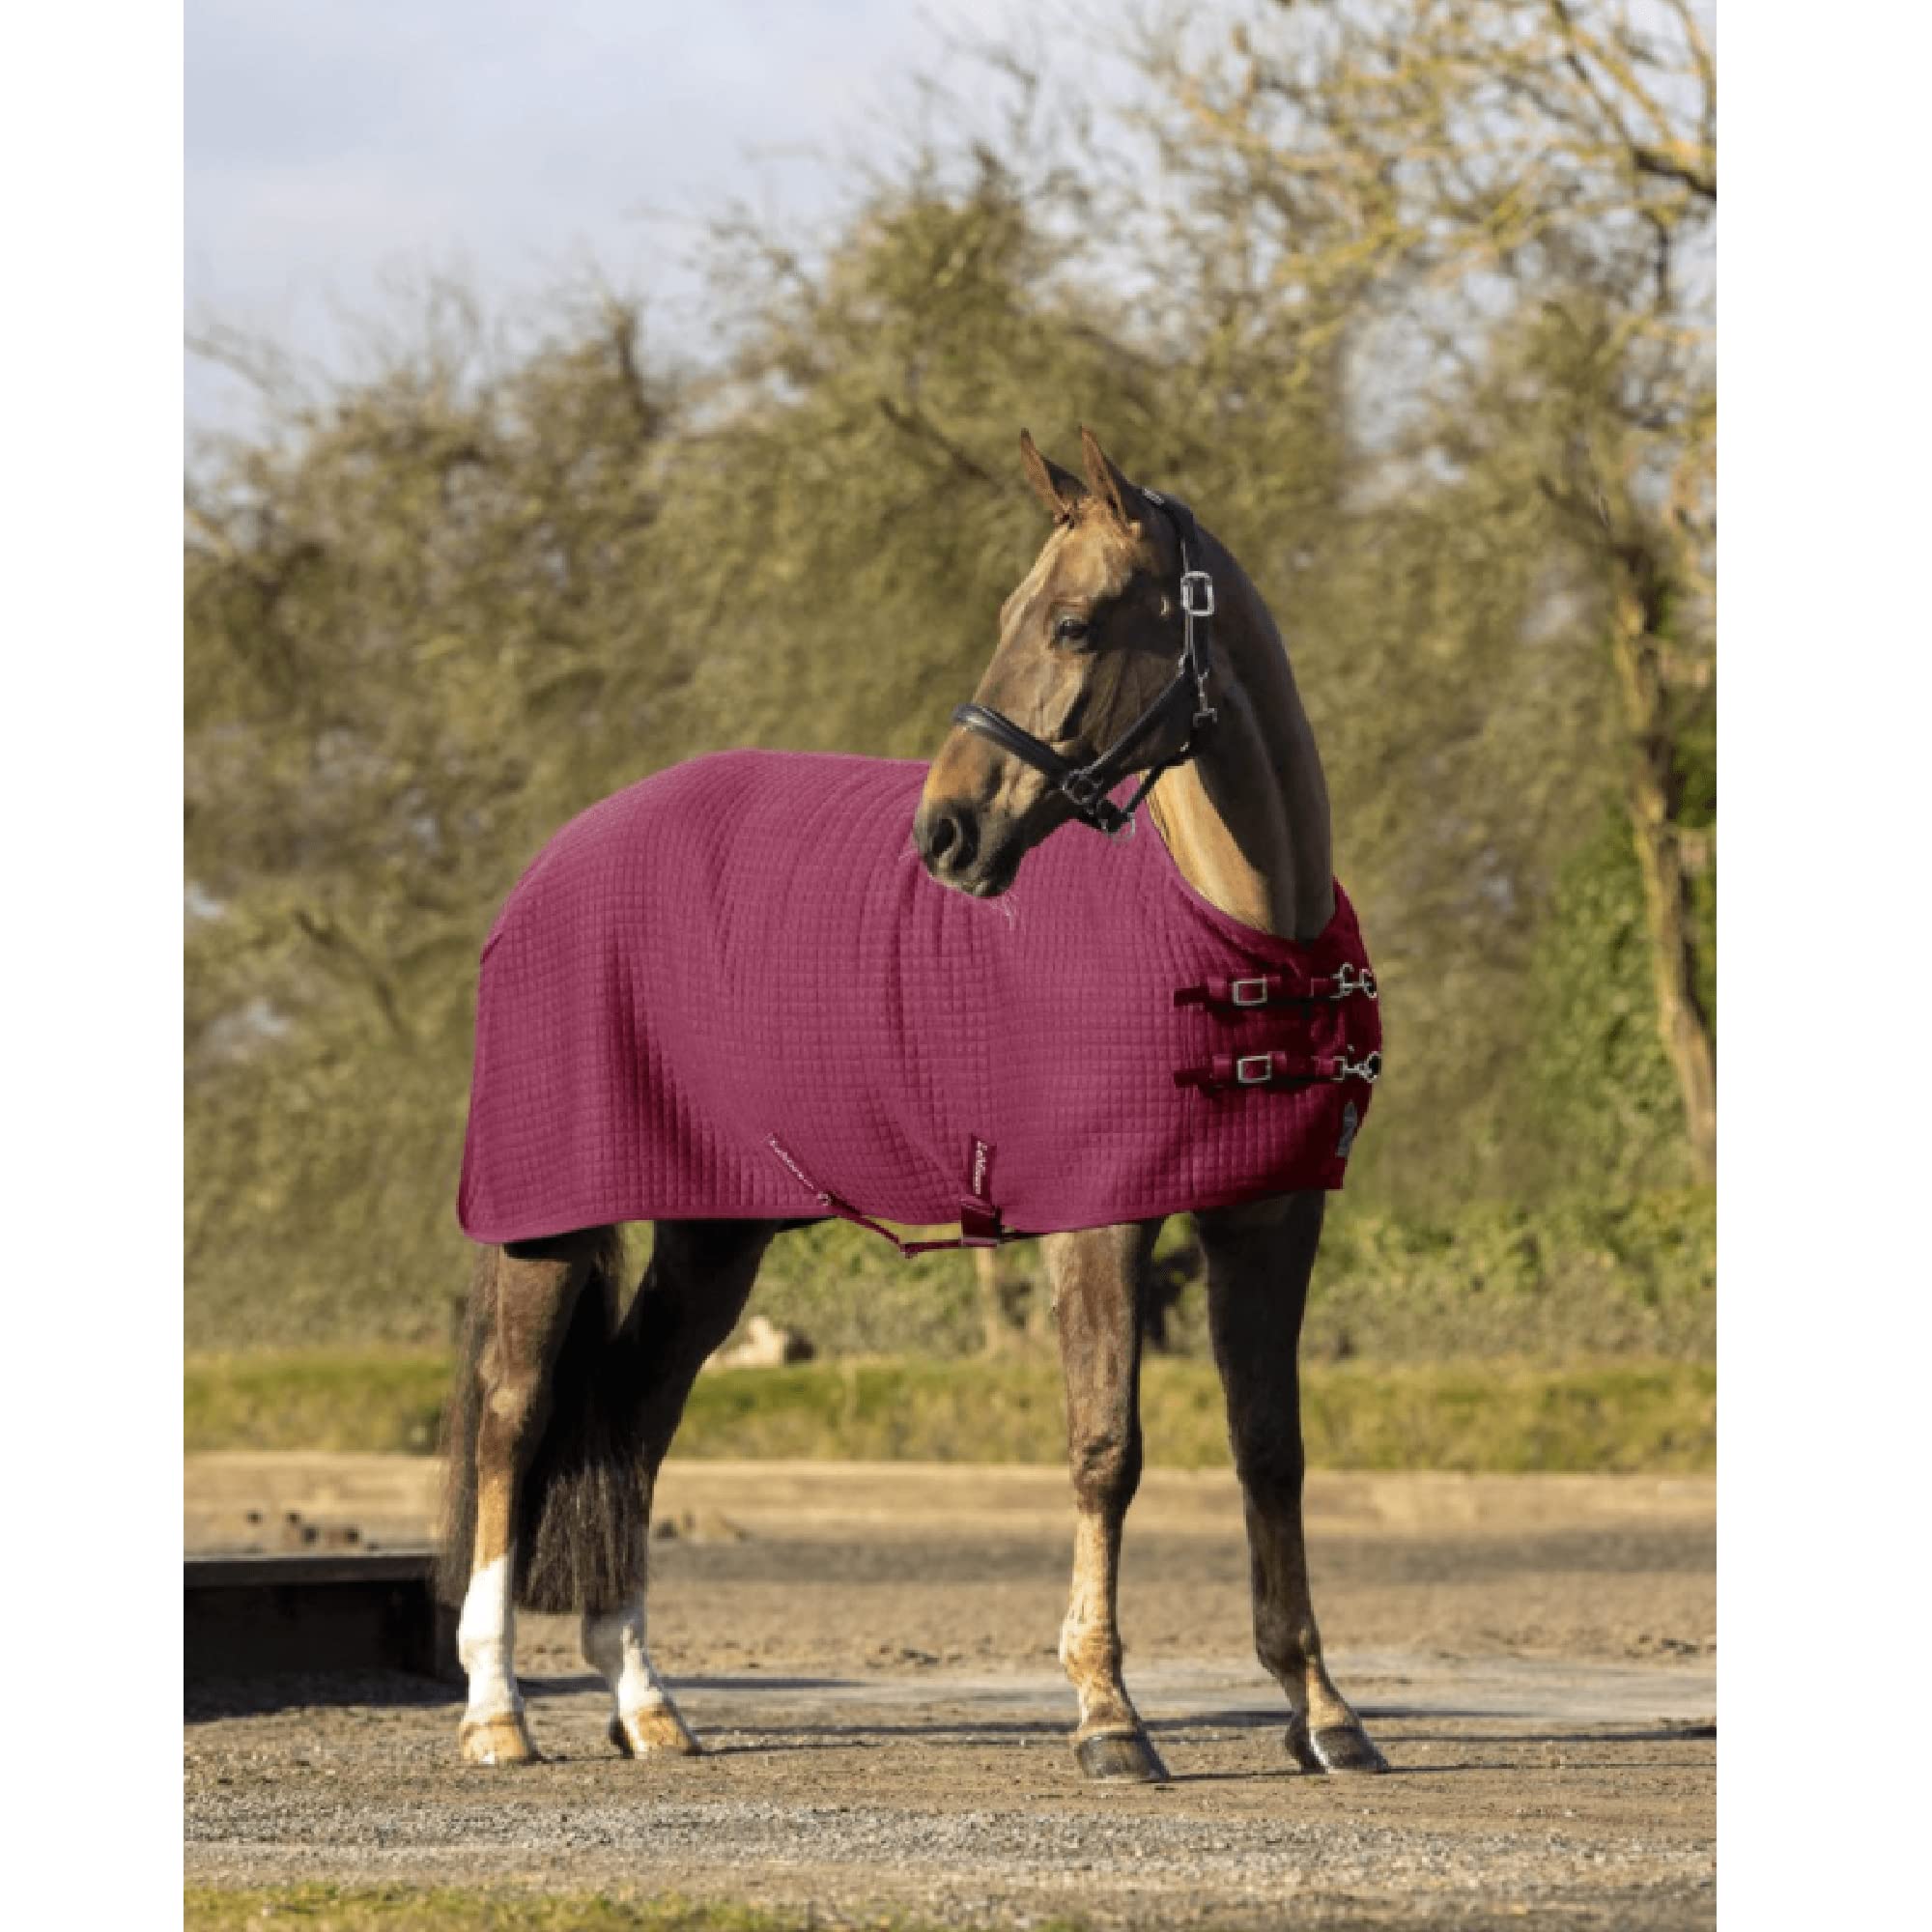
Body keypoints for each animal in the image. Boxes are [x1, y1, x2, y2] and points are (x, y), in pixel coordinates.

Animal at [439, 427, 1389, 1783]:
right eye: (1015, 617)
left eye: (1073, 625)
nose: (943, 833)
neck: (1235, 927)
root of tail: (555, 861)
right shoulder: (1099, 1220)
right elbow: (1105, 1450)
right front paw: (1107, 1713)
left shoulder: (1271, 1216)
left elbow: (1271, 1449)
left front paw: (1322, 1710)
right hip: (549, 1225)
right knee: (515, 1421)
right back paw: (496, 1710)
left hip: (714, 1240)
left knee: (631, 1416)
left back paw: (646, 1704)